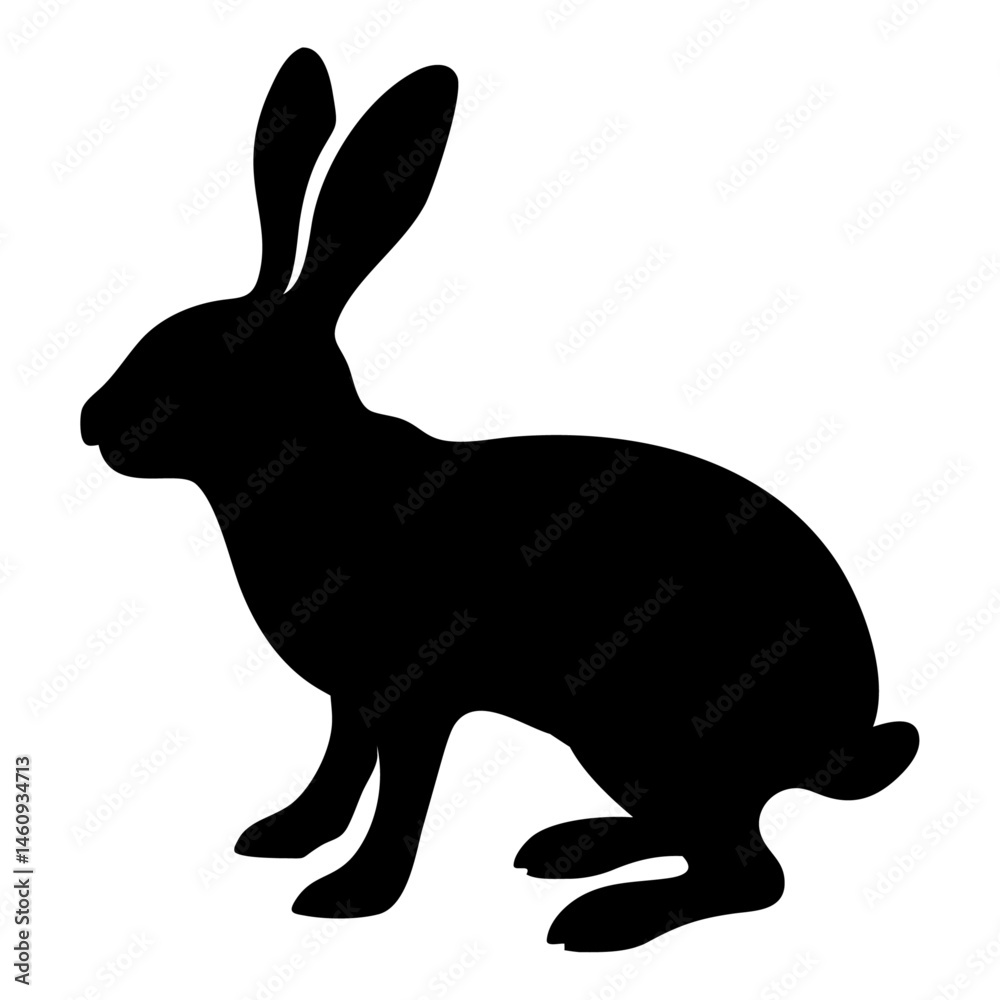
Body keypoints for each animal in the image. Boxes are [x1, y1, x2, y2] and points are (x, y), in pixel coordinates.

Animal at [80, 47, 919, 952]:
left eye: (199, 365)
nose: (92, 422)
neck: (317, 475)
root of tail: (842, 732)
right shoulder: (355, 696)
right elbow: (341, 765)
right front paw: (284, 835)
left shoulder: (418, 699)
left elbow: (399, 795)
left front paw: (350, 896)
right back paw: (570, 848)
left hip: (640, 730)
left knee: (748, 869)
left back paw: (602, 917)